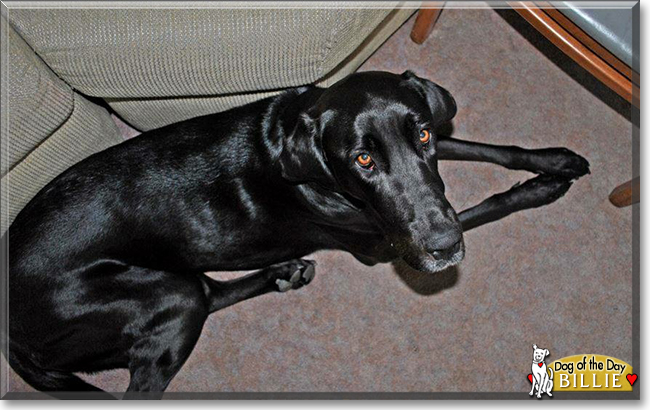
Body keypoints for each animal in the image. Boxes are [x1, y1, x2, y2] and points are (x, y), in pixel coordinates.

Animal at [2, 70, 588, 398]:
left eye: (420, 133)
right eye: (363, 159)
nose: (444, 248)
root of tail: (11, 334)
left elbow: (484, 149)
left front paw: (554, 160)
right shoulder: (384, 242)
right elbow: (481, 207)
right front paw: (538, 190)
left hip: (173, 287)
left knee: (207, 291)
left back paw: (284, 273)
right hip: (152, 293)